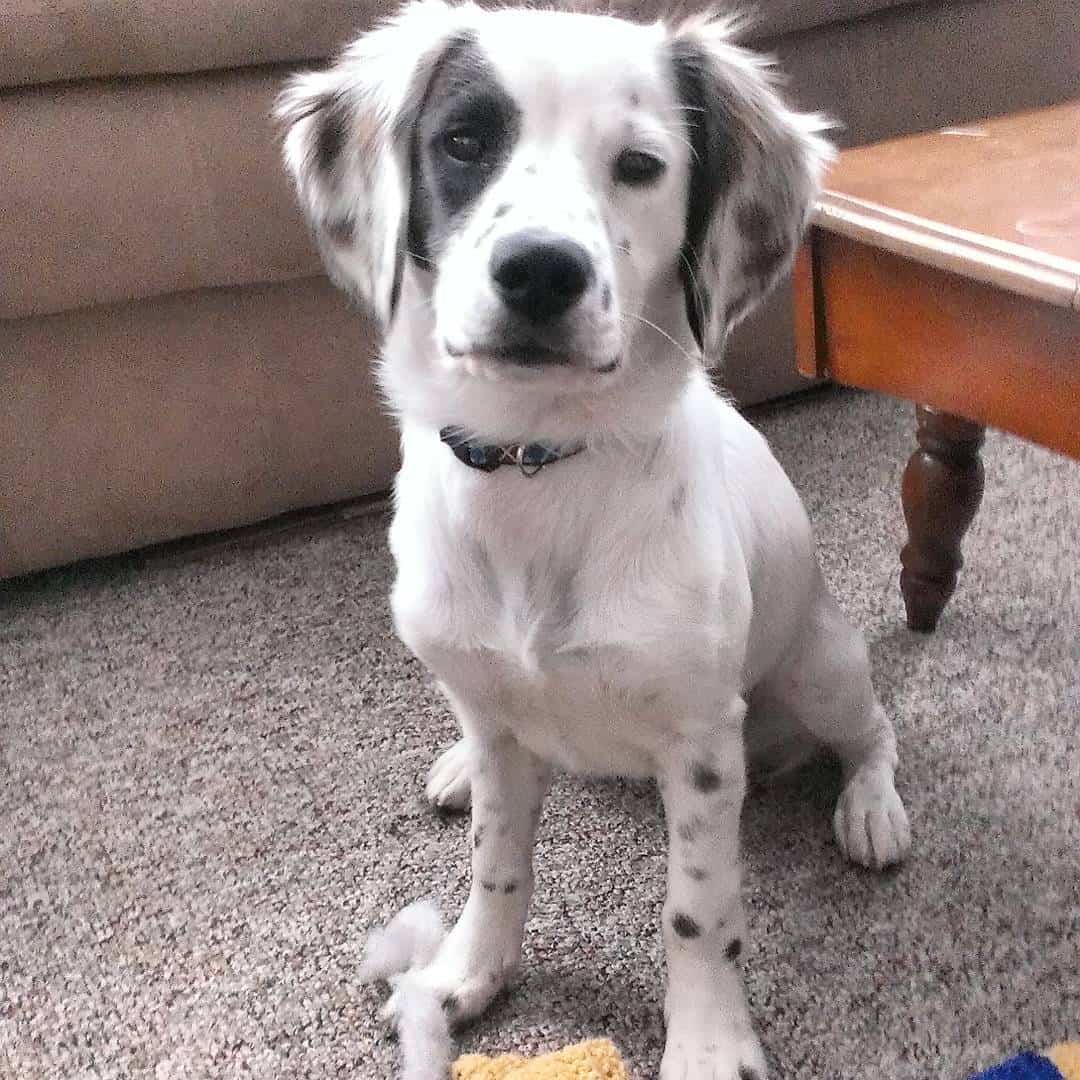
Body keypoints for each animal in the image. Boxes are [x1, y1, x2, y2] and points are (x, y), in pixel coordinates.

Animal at [276, 4, 911, 1075]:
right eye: (463, 142)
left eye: (641, 165)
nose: (541, 270)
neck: (538, 463)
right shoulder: (496, 716)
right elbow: (496, 864)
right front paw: (468, 972)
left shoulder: (701, 743)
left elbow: (697, 914)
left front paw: (707, 1044)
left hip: (819, 666)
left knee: (870, 731)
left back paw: (872, 808)